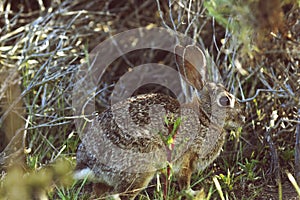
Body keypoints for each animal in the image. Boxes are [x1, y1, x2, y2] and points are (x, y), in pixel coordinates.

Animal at [74, 44, 244, 199]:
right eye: (225, 100)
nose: (242, 118)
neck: (204, 116)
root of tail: (89, 163)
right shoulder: (187, 158)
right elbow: (184, 182)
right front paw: (194, 193)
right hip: (140, 170)